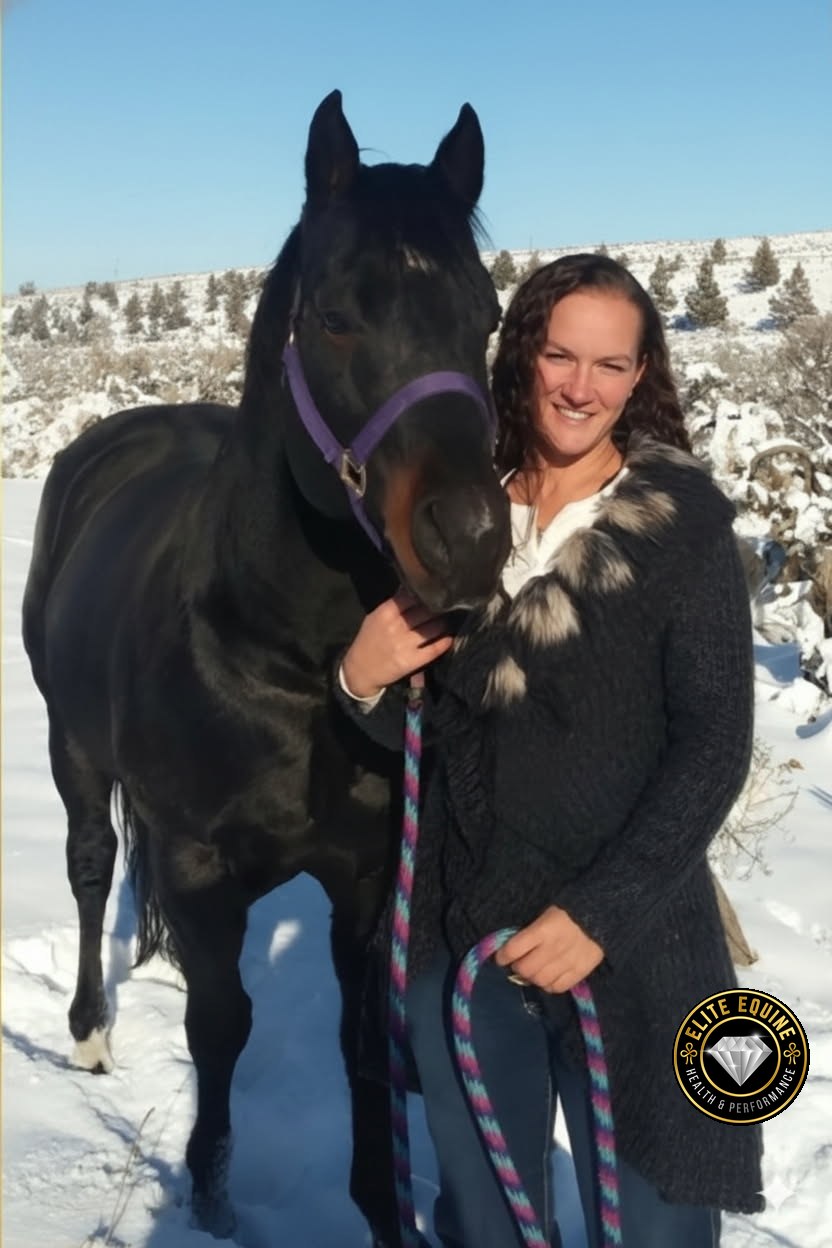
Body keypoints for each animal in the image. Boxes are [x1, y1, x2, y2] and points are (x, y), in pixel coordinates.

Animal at [21, 90, 511, 1245]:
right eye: (335, 316)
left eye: (485, 317)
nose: (470, 540)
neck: (288, 660)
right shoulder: (202, 869)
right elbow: (221, 1023)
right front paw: (210, 1195)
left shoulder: (370, 880)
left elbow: (363, 1045)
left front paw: (384, 1209)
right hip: (72, 749)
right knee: (89, 867)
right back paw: (90, 1032)